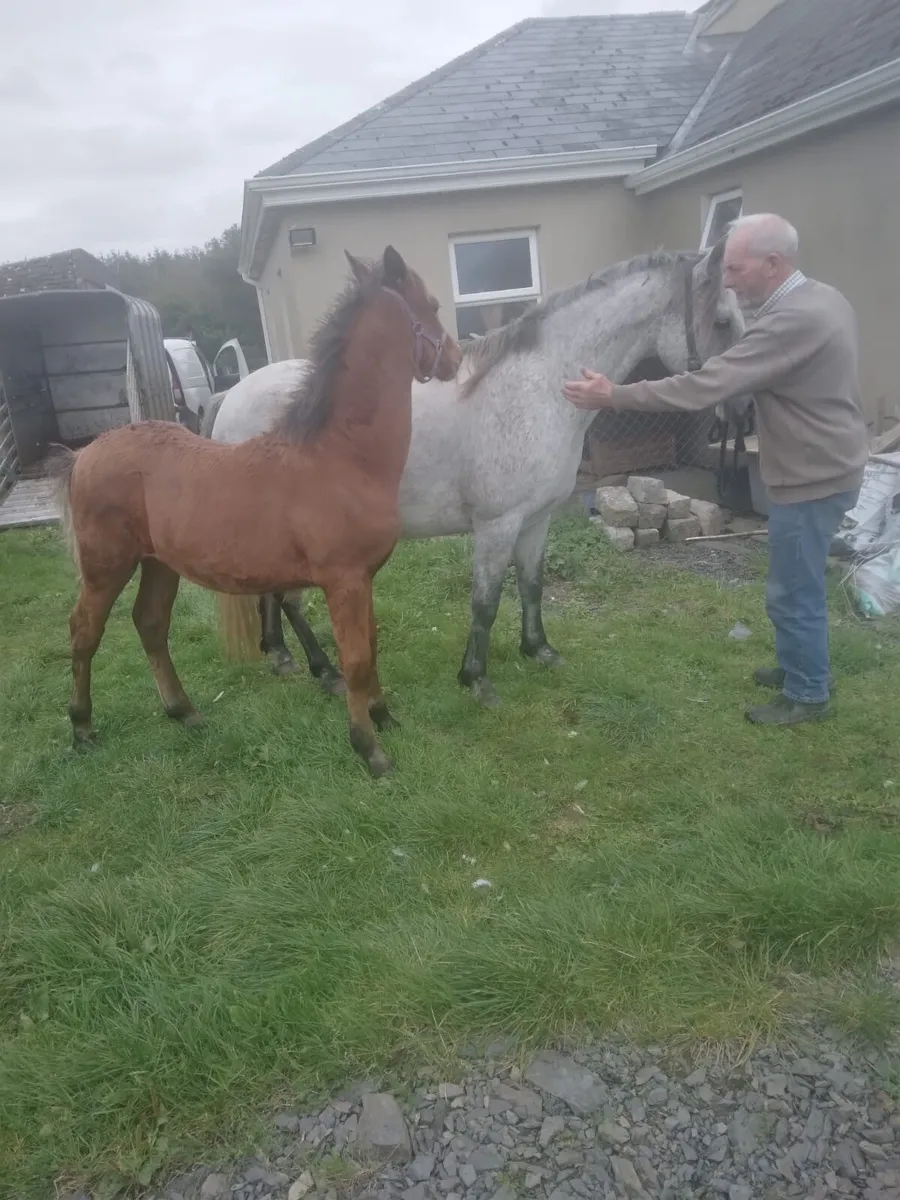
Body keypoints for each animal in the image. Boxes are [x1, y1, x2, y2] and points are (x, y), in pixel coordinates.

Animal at [51, 246, 462, 777]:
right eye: (431, 304)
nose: (455, 358)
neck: (339, 457)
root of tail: (84, 455)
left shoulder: (364, 578)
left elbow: (370, 646)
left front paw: (383, 716)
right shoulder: (345, 580)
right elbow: (354, 658)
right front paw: (369, 749)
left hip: (159, 564)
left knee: (150, 624)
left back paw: (184, 711)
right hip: (107, 565)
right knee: (85, 631)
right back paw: (82, 727)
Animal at [207, 241, 745, 708]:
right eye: (722, 321)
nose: (739, 407)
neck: (539, 387)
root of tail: (230, 401)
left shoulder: (537, 520)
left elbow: (532, 585)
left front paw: (539, 650)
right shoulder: (497, 524)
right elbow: (485, 602)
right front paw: (476, 680)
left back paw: (281, 655)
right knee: (287, 596)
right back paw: (325, 671)